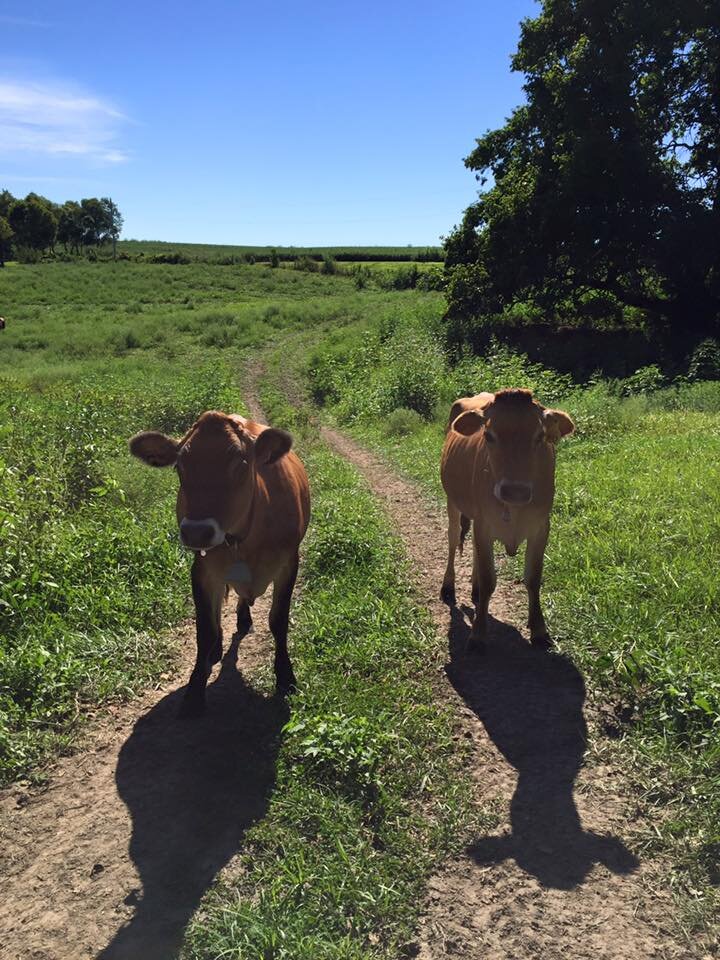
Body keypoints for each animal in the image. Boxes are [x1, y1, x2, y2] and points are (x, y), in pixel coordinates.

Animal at [129, 410, 310, 715]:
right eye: (180, 466)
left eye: (240, 463)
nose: (196, 531)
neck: (243, 538)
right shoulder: (202, 571)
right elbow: (205, 629)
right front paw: (194, 693)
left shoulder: (289, 563)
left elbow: (278, 621)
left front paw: (285, 676)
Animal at [440, 388, 574, 649]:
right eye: (488, 435)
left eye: (539, 436)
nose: (515, 491)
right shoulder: (484, 524)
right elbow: (488, 579)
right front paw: (478, 634)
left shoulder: (541, 527)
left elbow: (533, 579)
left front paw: (539, 629)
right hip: (453, 502)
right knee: (452, 540)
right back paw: (448, 586)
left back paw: (473, 589)